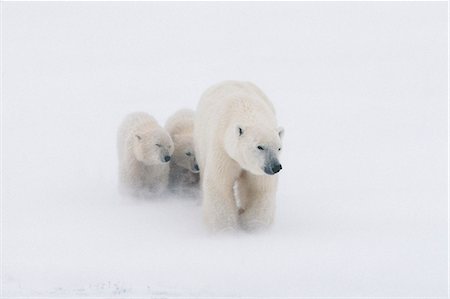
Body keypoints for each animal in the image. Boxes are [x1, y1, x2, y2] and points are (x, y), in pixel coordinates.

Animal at [194, 81, 284, 232]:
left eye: (279, 148)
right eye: (260, 146)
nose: (275, 166)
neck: (246, 109)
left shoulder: (257, 170)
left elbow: (259, 188)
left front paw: (255, 226)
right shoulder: (223, 151)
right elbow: (219, 185)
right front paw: (226, 229)